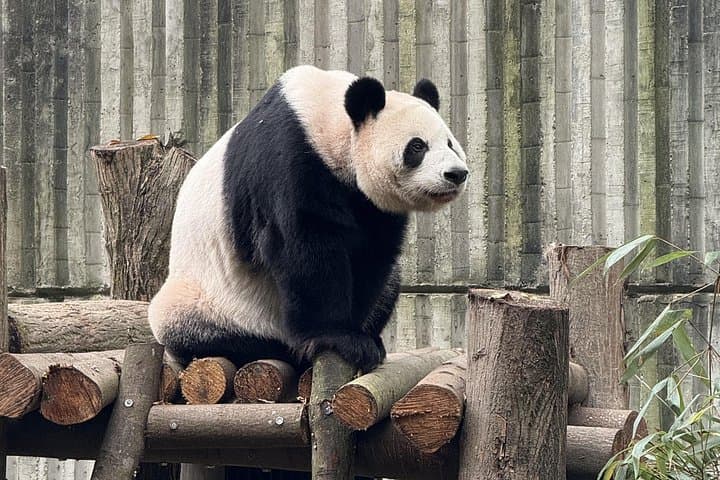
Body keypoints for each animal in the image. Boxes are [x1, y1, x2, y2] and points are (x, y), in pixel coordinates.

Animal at [148, 65, 468, 373]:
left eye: (450, 143)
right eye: (418, 146)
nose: (456, 174)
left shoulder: (368, 203)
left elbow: (371, 254)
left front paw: (360, 336)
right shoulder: (288, 159)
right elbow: (303, 244)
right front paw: (338, 337)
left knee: (391, 282)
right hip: (212, 304)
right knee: (204, 334)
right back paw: (283, 348)